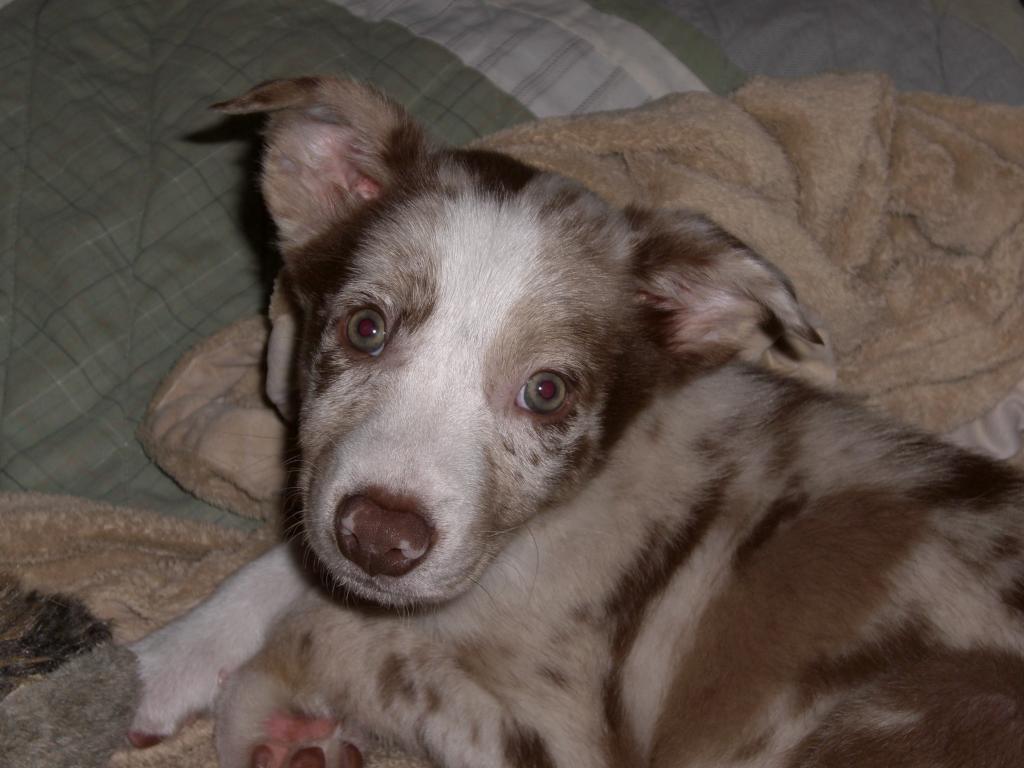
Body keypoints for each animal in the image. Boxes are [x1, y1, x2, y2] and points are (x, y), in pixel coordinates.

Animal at [128, 79, 1024, 768]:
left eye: (548, 392)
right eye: (365, 328)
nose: (380, 539)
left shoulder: (567, 740)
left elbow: (341, 634)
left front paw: (275, 709)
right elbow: (294, 565)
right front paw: (168, 661)